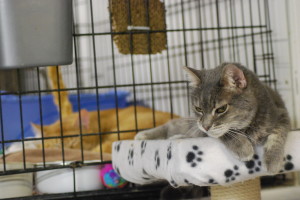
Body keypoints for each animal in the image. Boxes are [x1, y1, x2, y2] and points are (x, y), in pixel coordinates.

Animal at [135, 62, 290, 173]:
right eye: (198, 109)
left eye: (221, 109)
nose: (205, 126)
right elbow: (225, 133)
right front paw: (243, 147)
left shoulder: (282, 113)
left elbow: (278, 133)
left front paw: (273, 161)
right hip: (190, 125)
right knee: (172, 125)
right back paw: (145, 135)